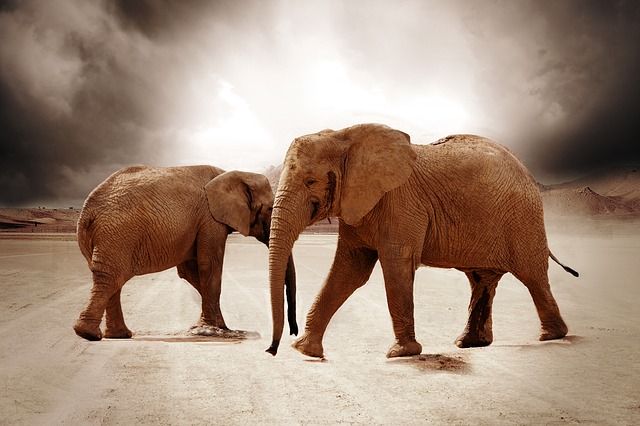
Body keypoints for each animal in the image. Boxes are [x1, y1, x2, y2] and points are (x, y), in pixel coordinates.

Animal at [73, 165, 298, 341]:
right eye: (270, 209)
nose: (293, 333)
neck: (233, 173)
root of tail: (86, 211)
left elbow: (191, 272)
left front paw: (219, 327)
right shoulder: (210, 218)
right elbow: (209, 266)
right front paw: (212, 329)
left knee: (112, 279)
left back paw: (117, 335)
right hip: (117, 234)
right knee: (111, 277)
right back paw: (89, 334)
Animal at [266, 123, 578, 358]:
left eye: (310, 182)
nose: (272, 350)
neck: (343, 136)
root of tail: (527, 170)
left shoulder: (401, 203)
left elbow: (396, 265)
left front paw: (401, 353)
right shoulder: (358, 206)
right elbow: (349, 270)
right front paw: (304, 350)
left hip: (523, 218)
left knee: (532, 275)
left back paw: (552, 335)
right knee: (481, 281)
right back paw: (470, 343)